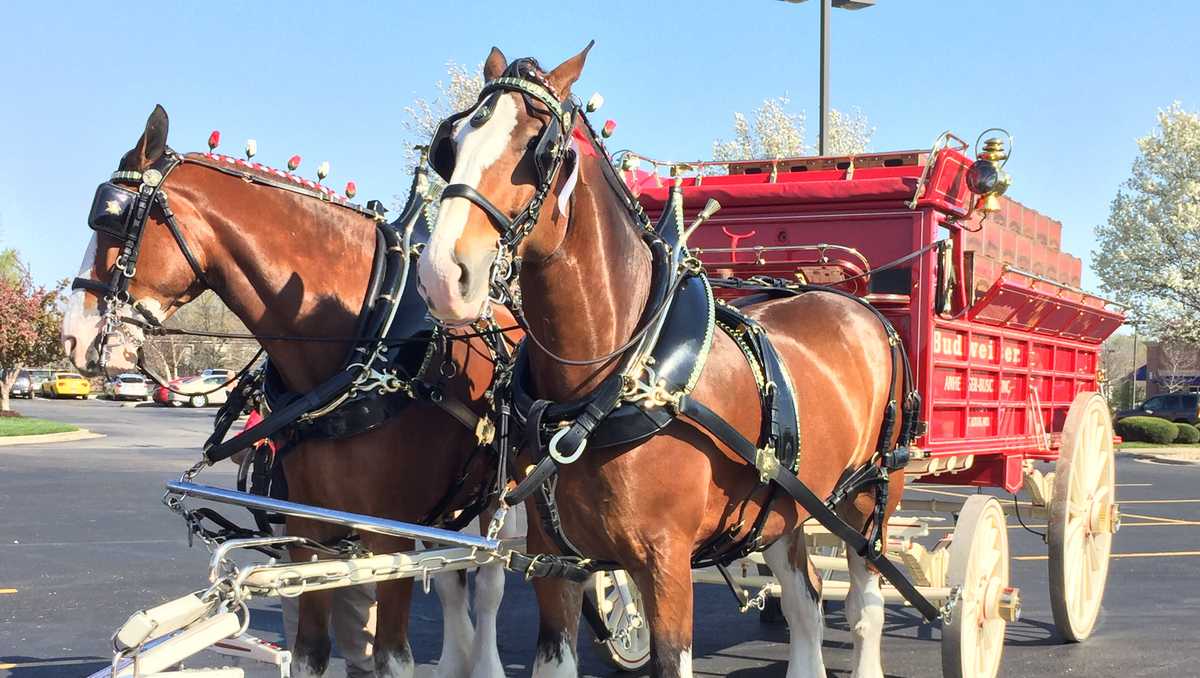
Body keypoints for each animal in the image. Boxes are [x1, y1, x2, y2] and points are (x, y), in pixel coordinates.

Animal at [62, 106, 518, 678]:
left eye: (111, 221)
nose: (73, 337)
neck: (368, 339)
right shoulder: (310, 533)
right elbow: (310, 653)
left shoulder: (390, 538)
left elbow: (394, 655)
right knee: (458, 582)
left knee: (493, 581)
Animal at [415, 45, 911, 678]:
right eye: (450, 145)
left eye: (538, 148)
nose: (440, 276)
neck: (611, 382)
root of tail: (859, 306)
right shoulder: (555, 563)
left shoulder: (666, 563)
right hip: (789, 499)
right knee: (806, 604)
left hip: (871, 498)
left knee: (866, 603)